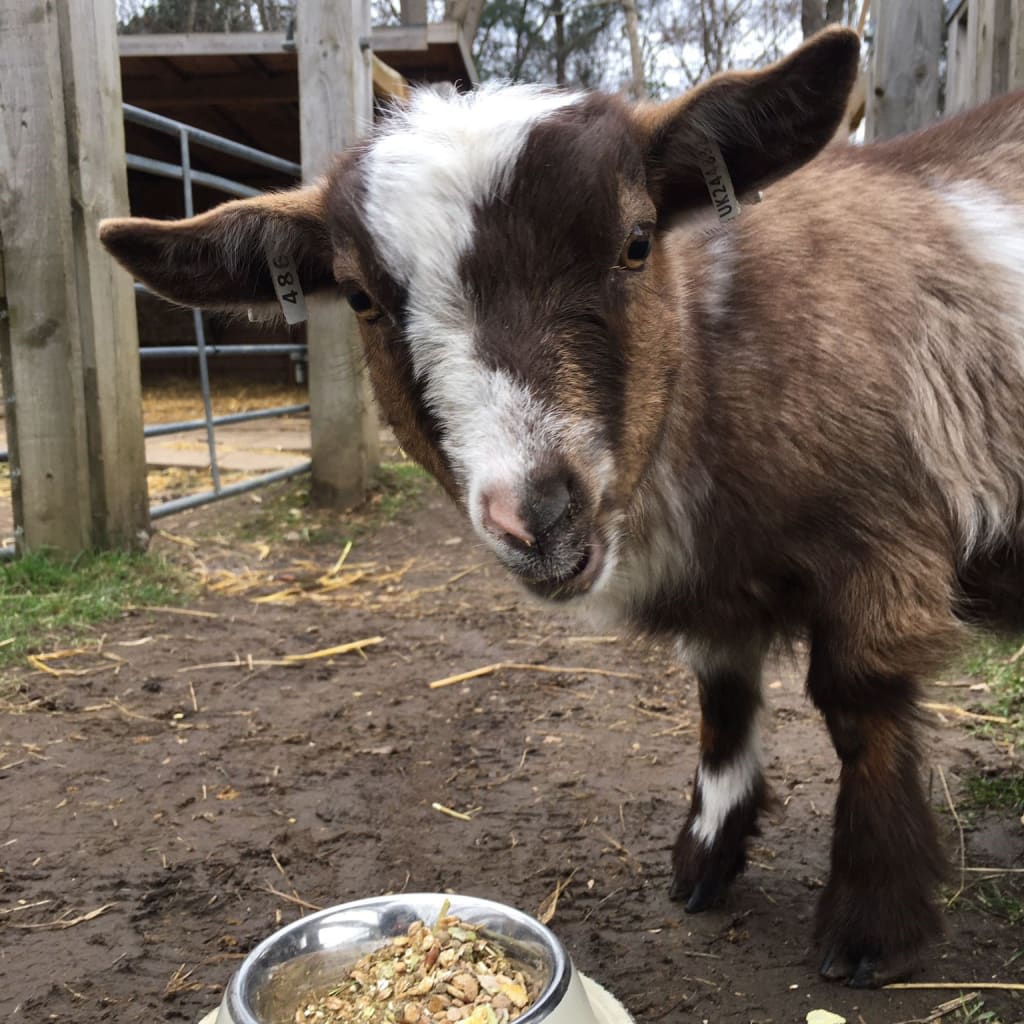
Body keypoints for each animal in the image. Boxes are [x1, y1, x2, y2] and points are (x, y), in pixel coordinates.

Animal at [100, 28, 1024, 988]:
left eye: (637, 242)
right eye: (360, 296)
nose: (536, 515)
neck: (720, 349)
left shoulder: (880, 531)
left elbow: (857, 705)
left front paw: (871, 924)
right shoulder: (717, 585)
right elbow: (722, 697)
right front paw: (704, 858)